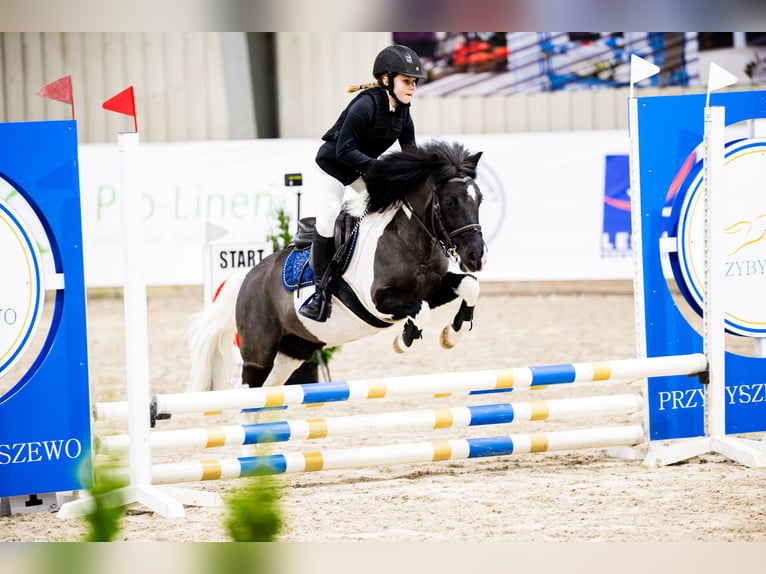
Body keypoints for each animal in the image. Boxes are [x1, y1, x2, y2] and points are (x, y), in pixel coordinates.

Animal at [185, 140, 486, 394]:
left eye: (479, 199)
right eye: (450, 202)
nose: (476, 257)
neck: (410, 240)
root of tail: (249, 277)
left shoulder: (431, 289)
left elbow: (469, 286)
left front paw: (453, 333)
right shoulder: (380, 301)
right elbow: (420, 311)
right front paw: (405, 339)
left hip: (292, 352)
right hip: (258, 357)